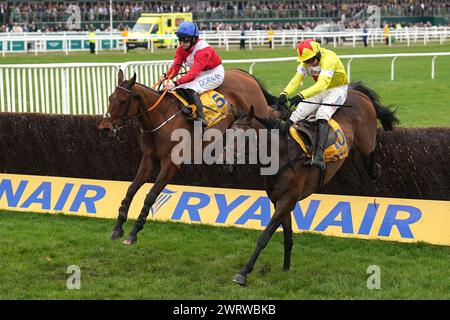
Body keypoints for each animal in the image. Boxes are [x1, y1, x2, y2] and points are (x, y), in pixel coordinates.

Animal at [97, 68, 274, 245]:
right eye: (110, 98)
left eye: (123, 101)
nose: (105, 128)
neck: (160, 120)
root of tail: (244, 74)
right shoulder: (149, 160)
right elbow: (131, 189)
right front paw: (117, 227)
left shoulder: (171, 164)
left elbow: (151, 195)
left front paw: (133, 232)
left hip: (259, 122)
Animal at [229, 82, 398, 284]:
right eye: (229, 131)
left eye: (244, 135)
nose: (226, 156)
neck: (282, 154)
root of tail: (354, 90)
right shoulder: (280, 201)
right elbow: (287, 237)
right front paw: (286, 268)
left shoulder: (287, 200)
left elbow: (264, 236)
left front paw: (243, 272)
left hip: (365, 138)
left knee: (370, 150)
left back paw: (375, 170)